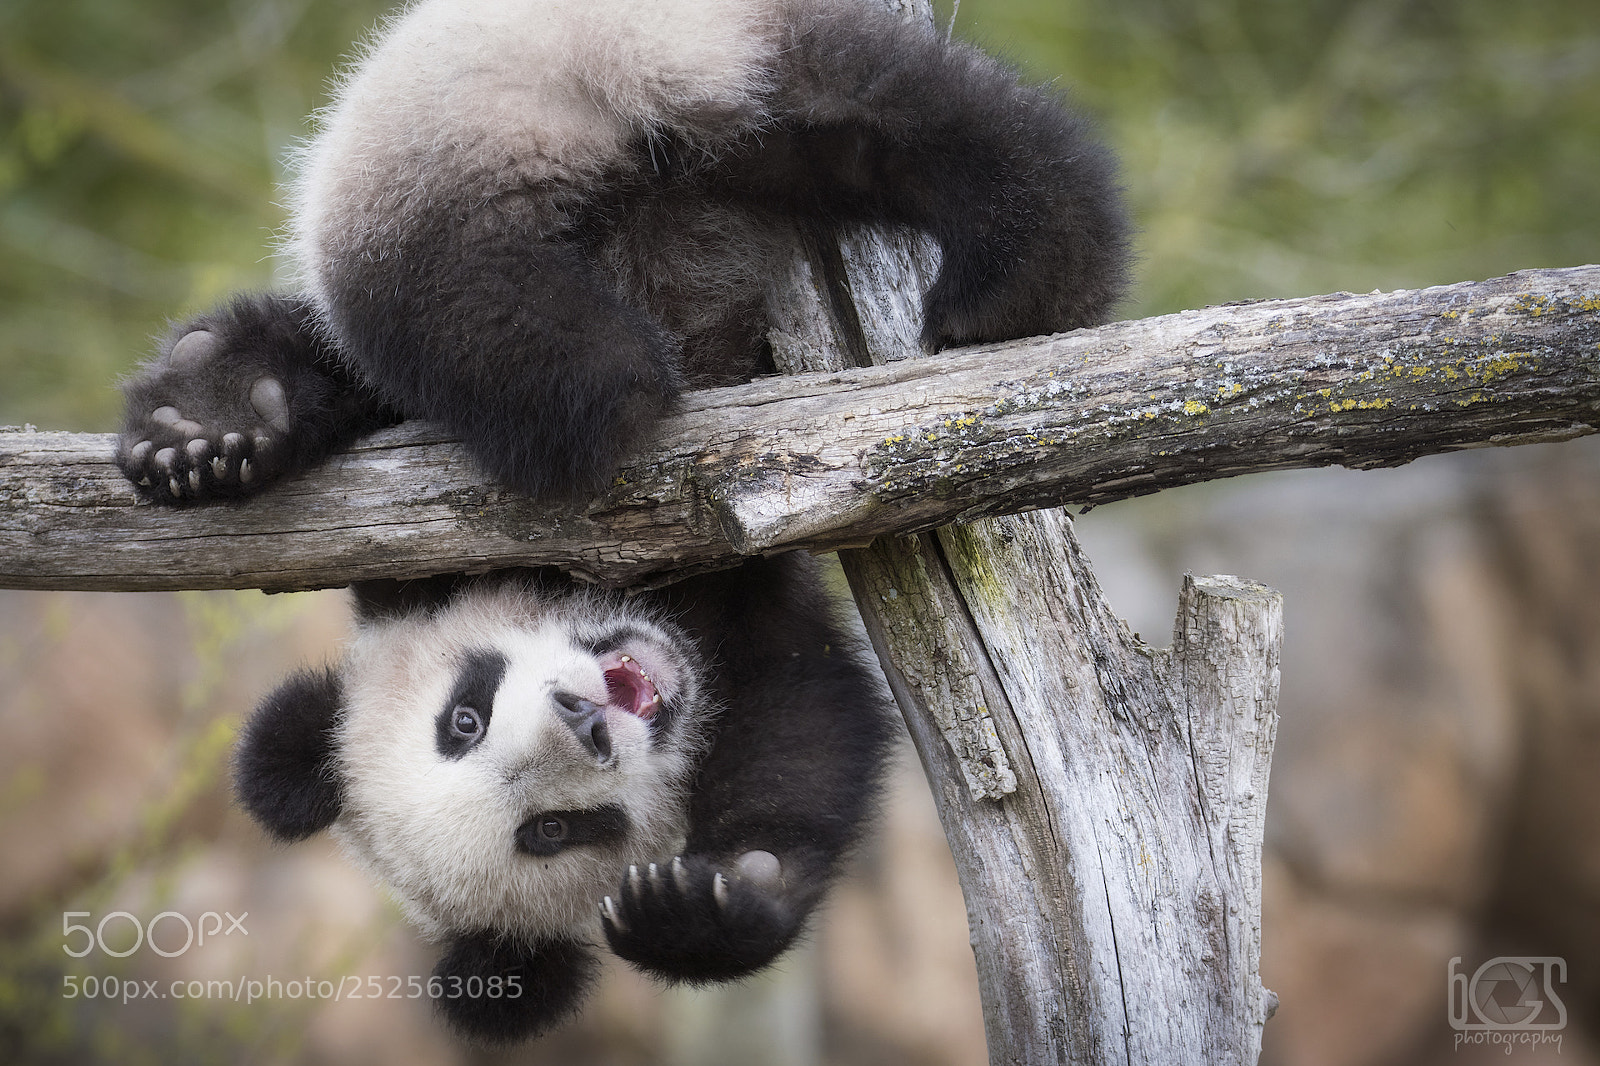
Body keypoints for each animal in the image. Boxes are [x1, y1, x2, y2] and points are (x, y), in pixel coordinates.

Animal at [110, 0, 1129, 1045]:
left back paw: (212, 416)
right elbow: (806, 711)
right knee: (894, 124)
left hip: (448, 145)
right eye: (554, 832)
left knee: (463, 335)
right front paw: (713, 902)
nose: (585, 715)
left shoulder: (453, 562)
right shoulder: (721, 592)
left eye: (463, 715)